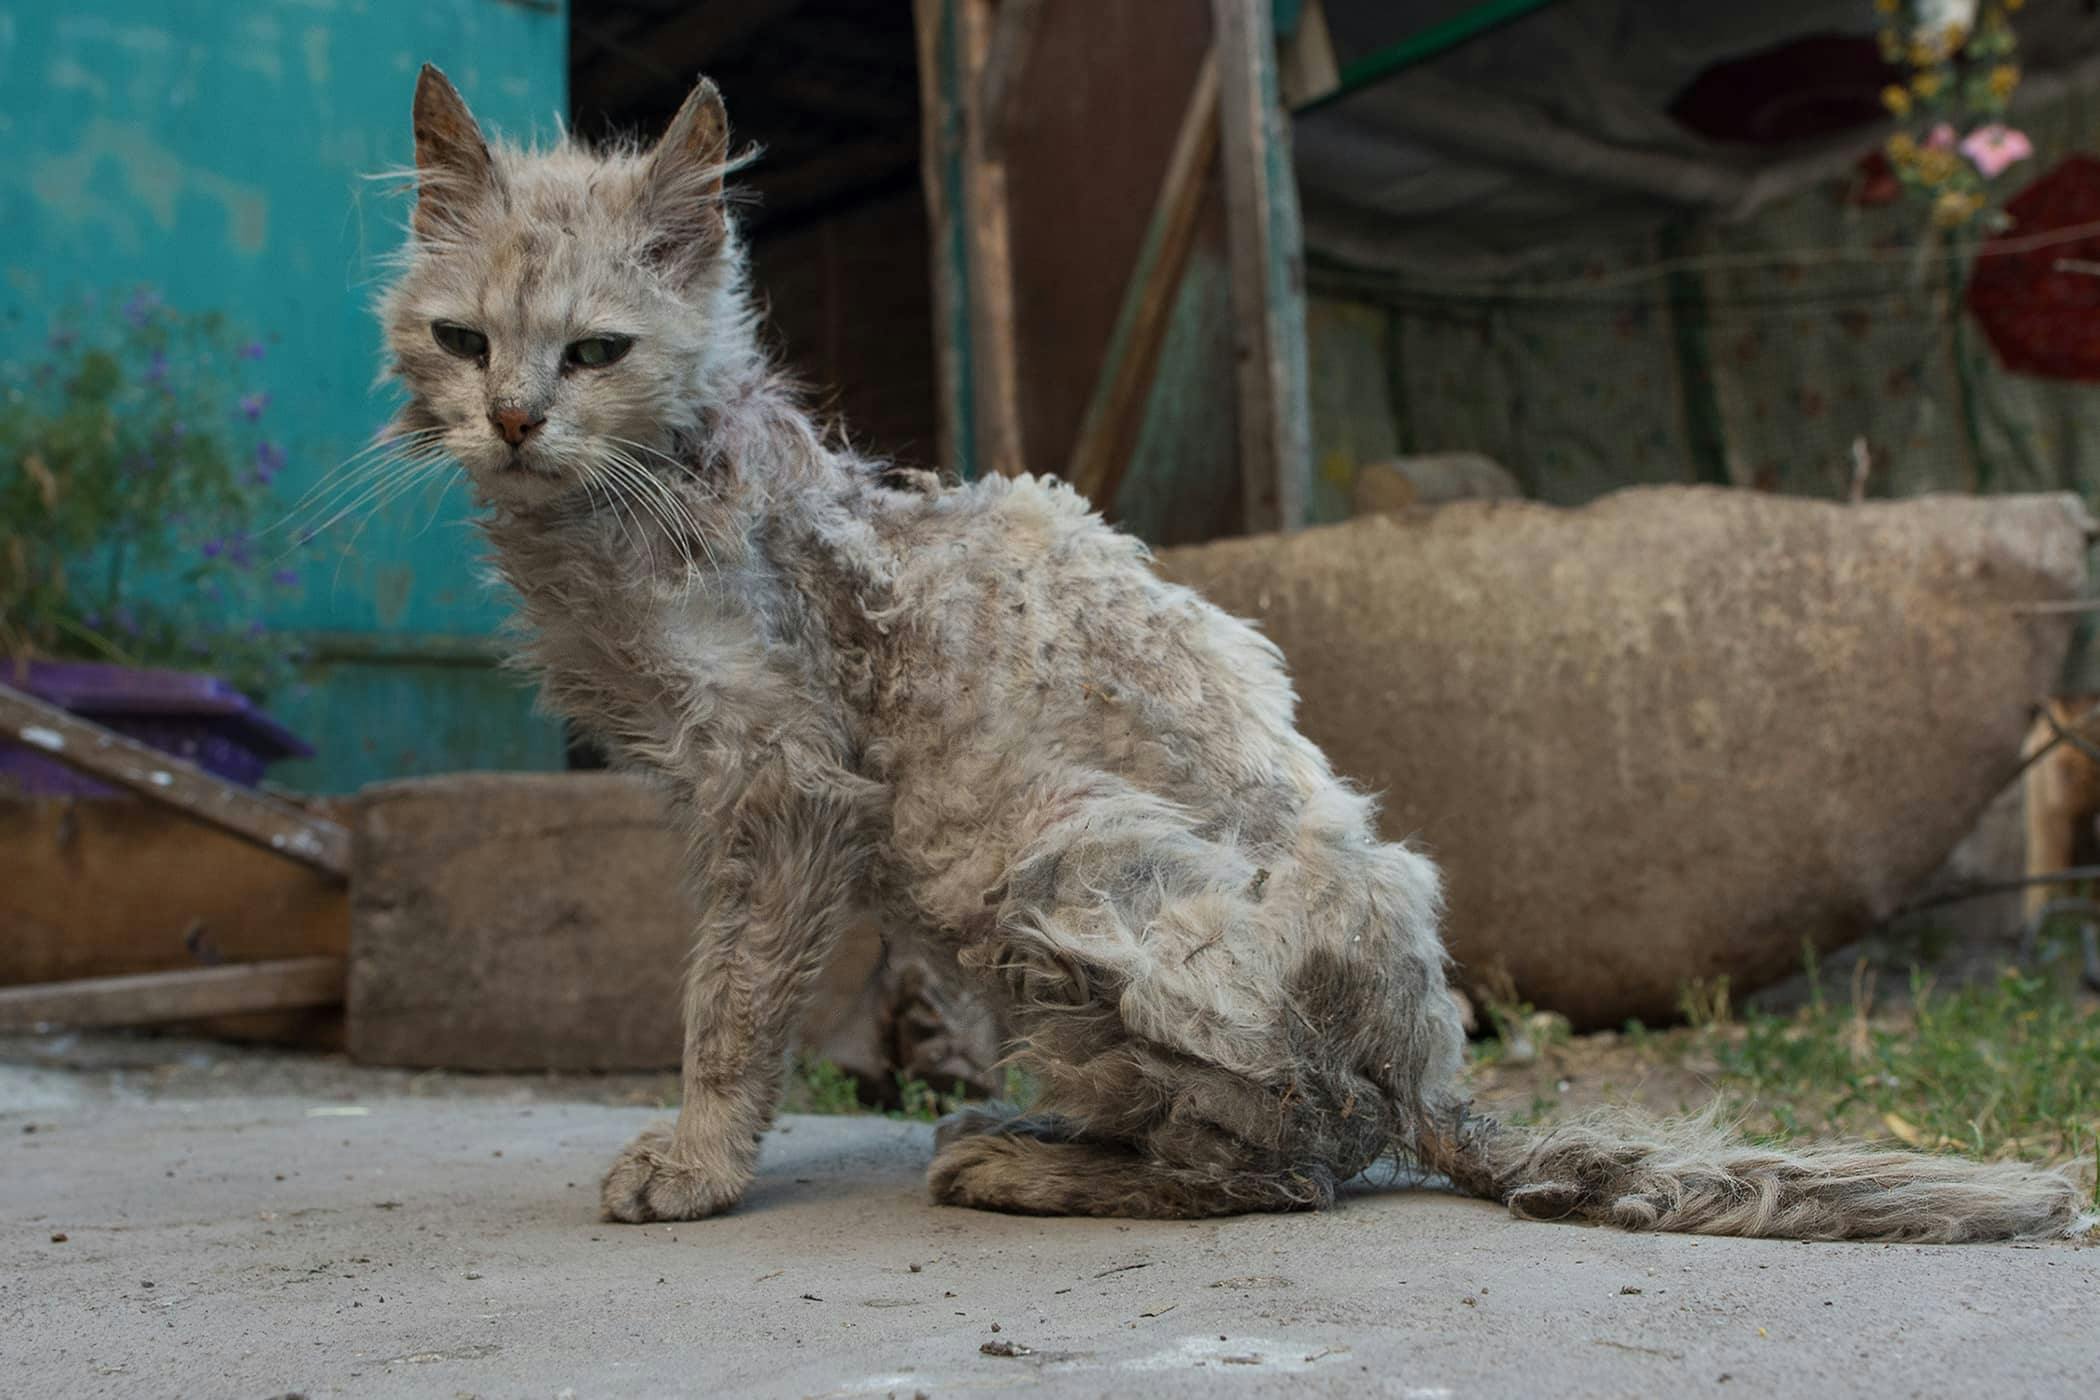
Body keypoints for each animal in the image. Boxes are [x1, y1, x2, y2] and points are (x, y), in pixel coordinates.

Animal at [377, 65, 2083, 1242]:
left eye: (596, 352)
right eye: (464, 344)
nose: (512, 420)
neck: (643, 500)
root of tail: (1433, 1078)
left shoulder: (788, 788)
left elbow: (728, 1002)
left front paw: (696, 1163)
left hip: (1048, 863)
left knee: (1286, 1163)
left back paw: (1019, 1163)